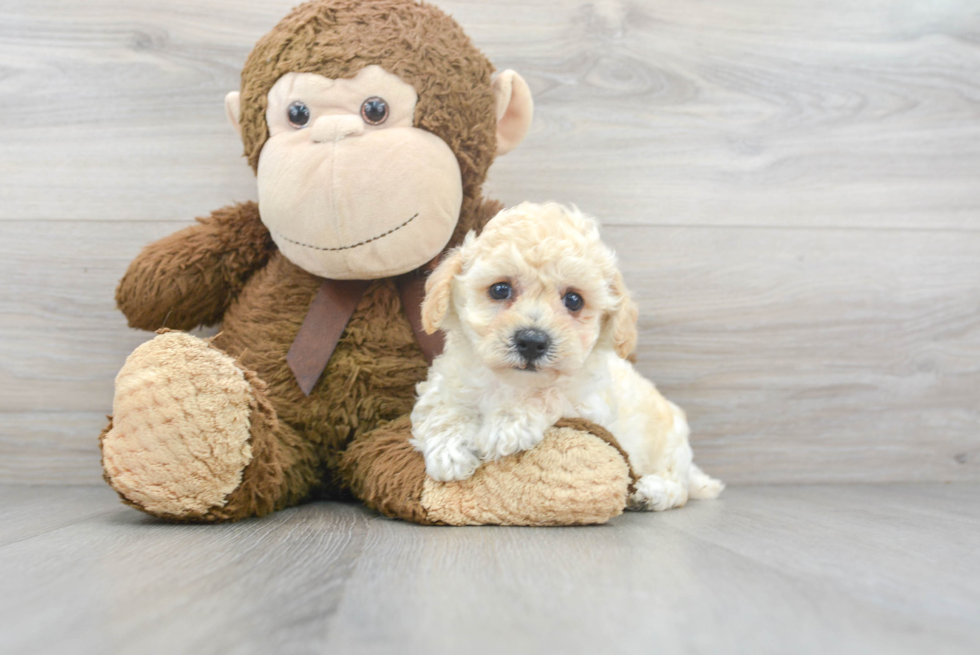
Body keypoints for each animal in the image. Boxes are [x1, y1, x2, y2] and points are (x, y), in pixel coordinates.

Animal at [410, 202, 724, 510]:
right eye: (500, 289)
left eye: (574, 300)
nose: (532, 341)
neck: (511, 382)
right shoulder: (441, 386)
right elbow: (443, 411)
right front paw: (450, 451)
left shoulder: (589, 403)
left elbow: (550, 394)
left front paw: (507, 425)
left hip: (671, 451)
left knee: (679, 488)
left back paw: (651, 493)